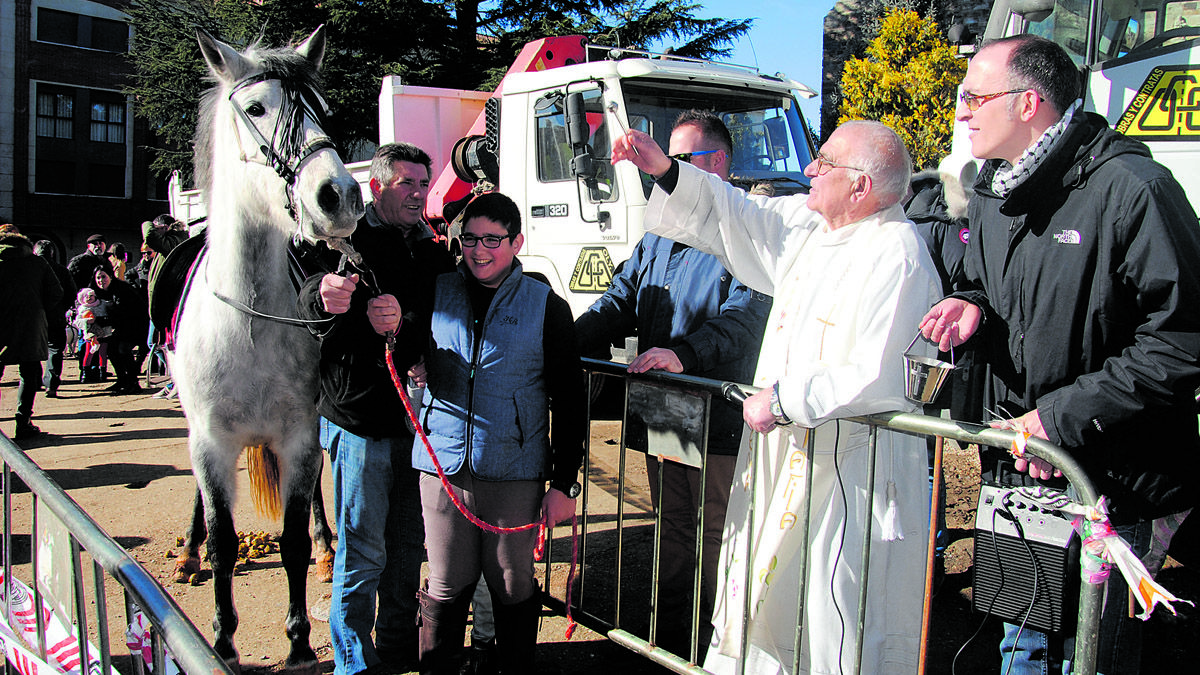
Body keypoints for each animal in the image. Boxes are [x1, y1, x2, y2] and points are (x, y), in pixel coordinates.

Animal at [171, 24, 360, 667]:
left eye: (322, 111)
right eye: (255, 108)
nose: (339, 196)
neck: (247, 323)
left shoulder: (297, 436)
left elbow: (293, 540)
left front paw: (300, 639)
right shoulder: (209, 441)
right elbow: (225, 542)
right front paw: (223, 639)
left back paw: (329, 547)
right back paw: (187, 552)